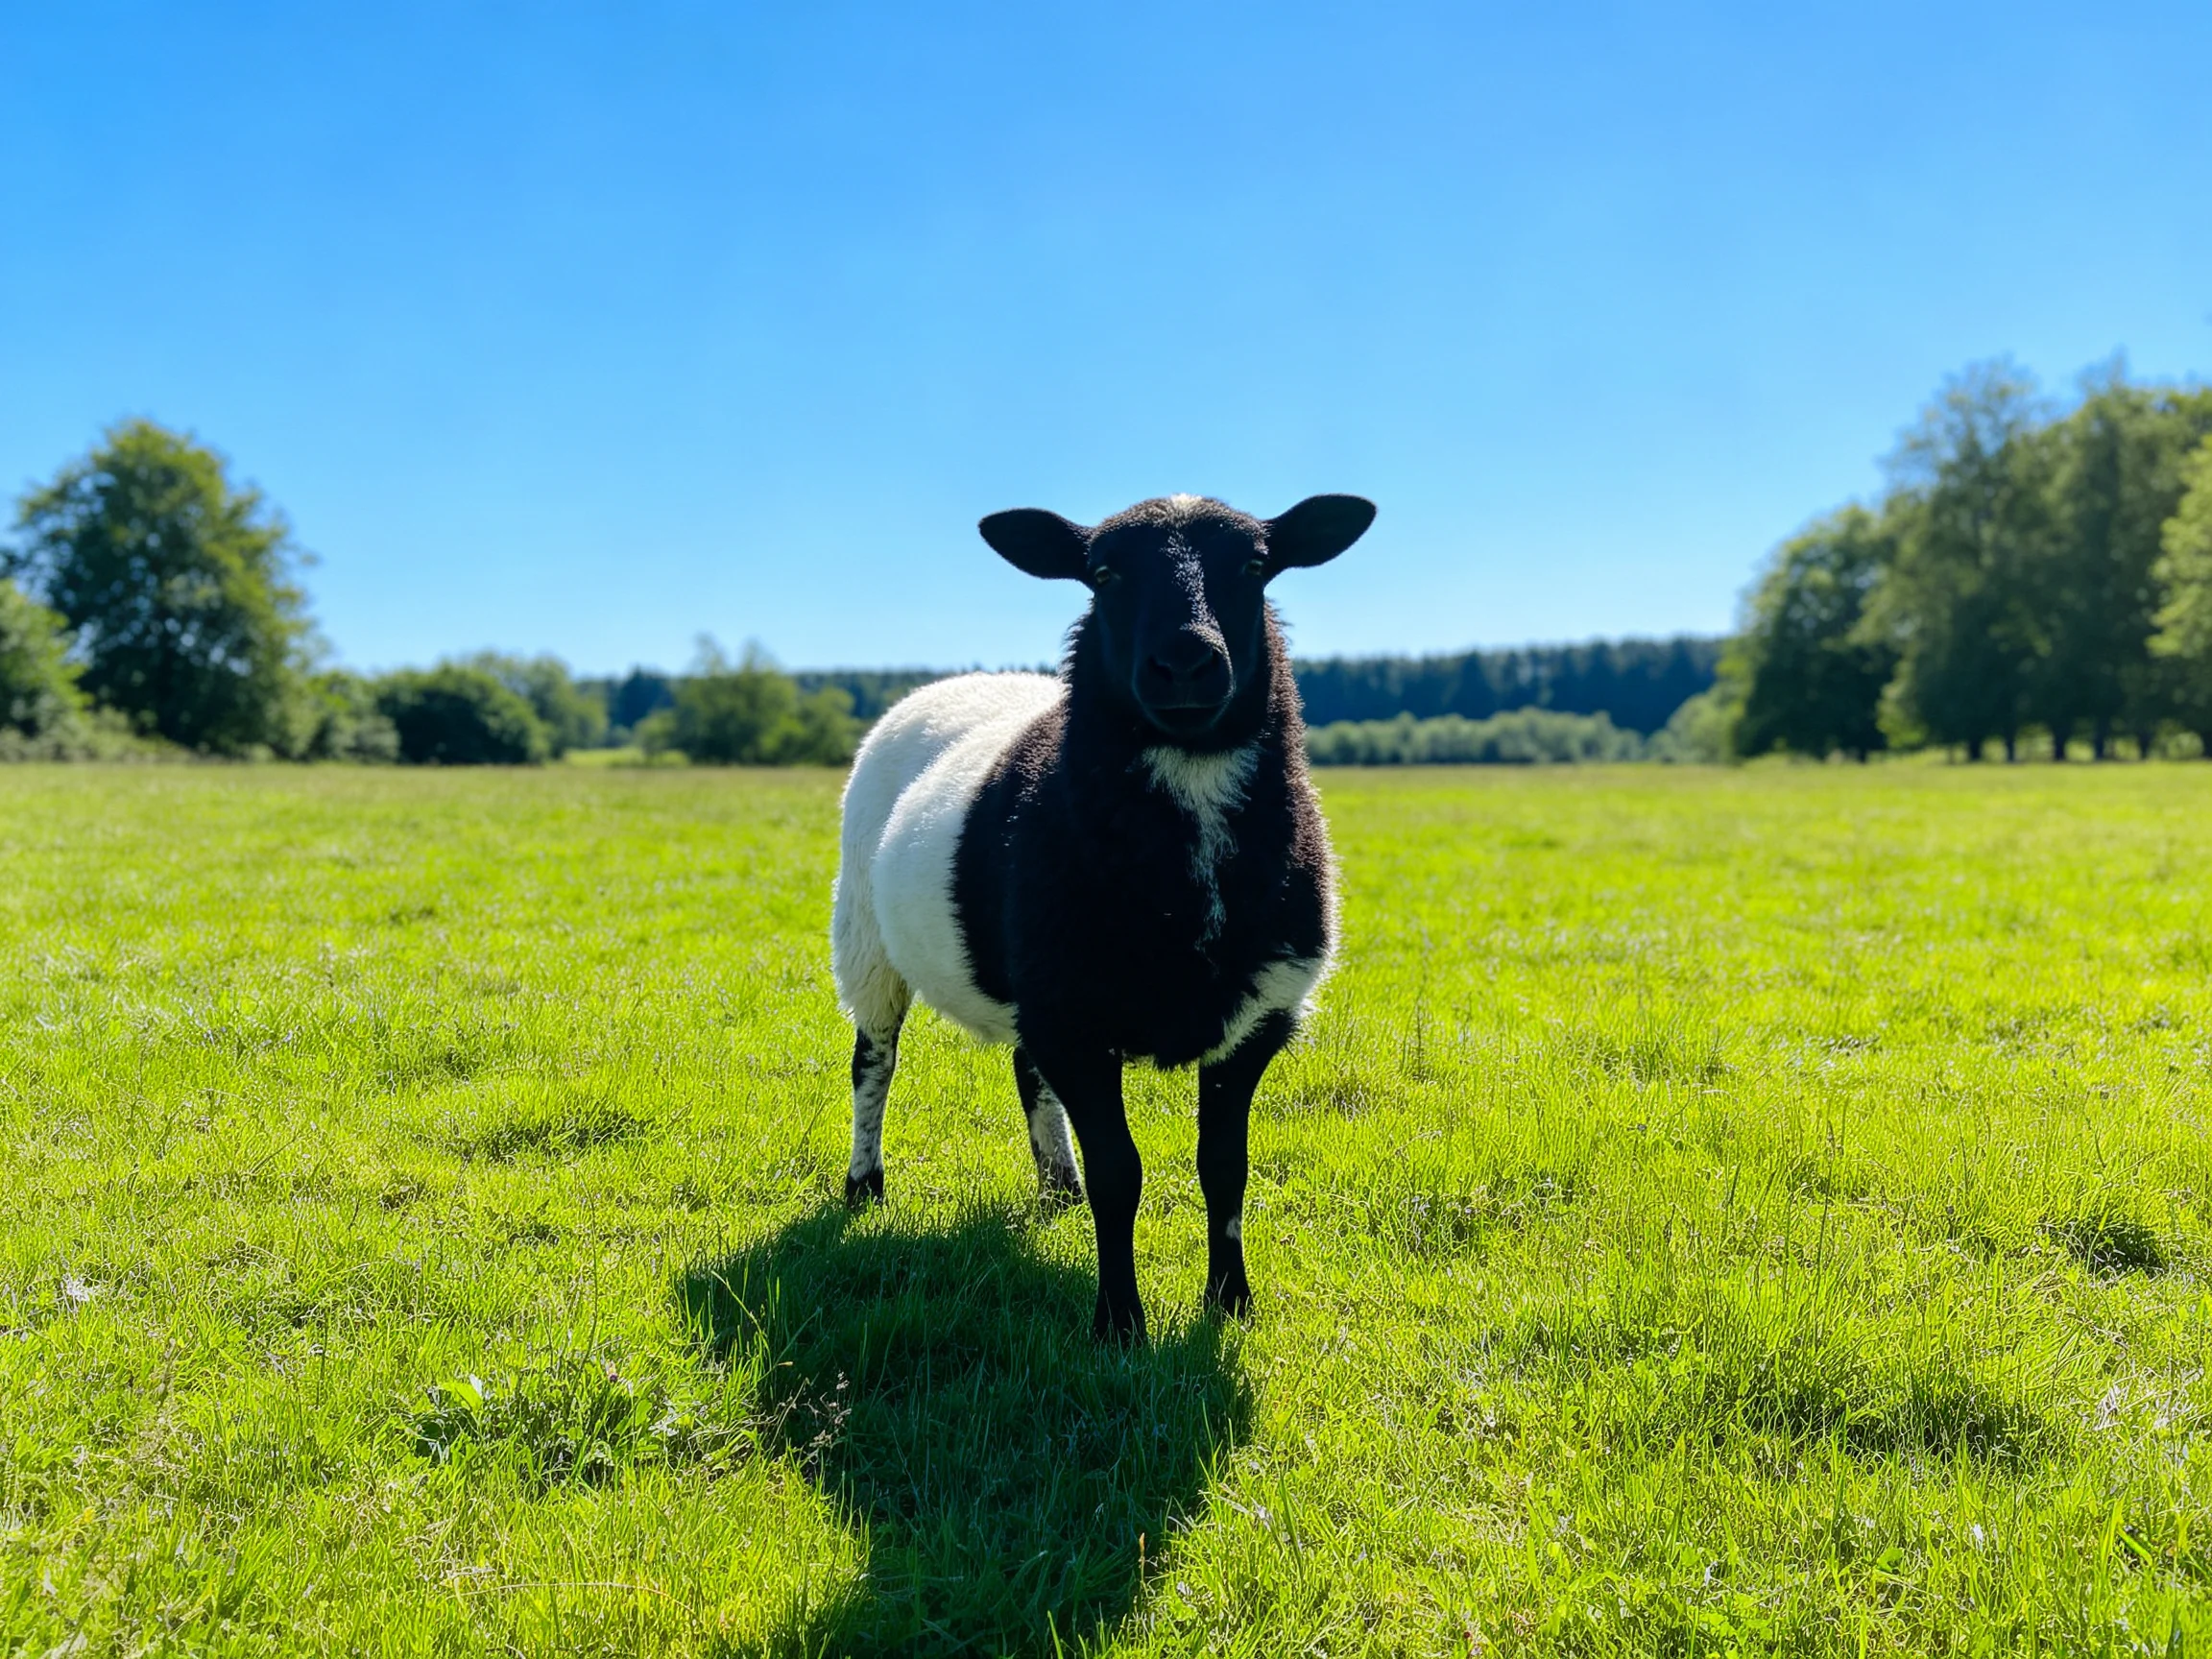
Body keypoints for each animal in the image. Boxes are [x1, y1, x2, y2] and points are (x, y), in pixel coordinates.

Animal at [830, 492, 1376, 1341]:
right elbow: (1122, 1174)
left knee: (1024, 1070)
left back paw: (1058, 1186)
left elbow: (1225, 1168)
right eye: (1104, 573)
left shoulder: (1255, 1020)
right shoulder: (1076, 1024)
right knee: (873, 1061)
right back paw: (866, 1183)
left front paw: (1230, 1303)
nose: (1185, 663)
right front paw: (1120, 1323)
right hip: (866, 935)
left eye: (1255, 566)